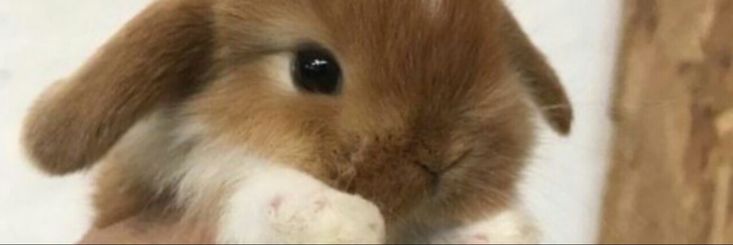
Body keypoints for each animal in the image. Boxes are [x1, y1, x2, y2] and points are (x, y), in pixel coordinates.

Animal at [21, 0, 572, 243]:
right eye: (314, 69)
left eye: (490, 51)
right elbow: (250, 186)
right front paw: (343, 220)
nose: (442, 157)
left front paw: (502, 229)